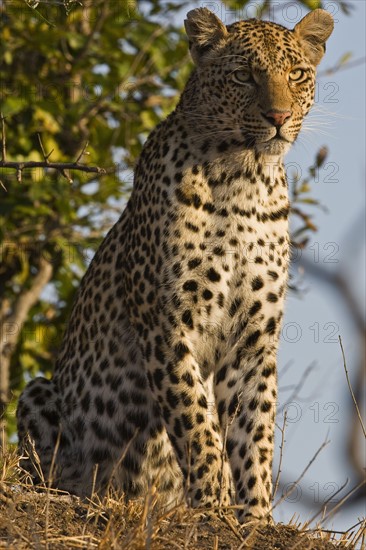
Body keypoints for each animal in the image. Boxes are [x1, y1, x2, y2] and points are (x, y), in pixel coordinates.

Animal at [15, 6, 334, 524]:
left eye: (296, 74)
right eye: (244, 76)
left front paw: (256, 516)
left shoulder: (254, 338)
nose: (279, 117)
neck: (245, 178)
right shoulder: (167, 322)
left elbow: (254, 430)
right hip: (38, 394)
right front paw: (213, 505)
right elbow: (197, 422)